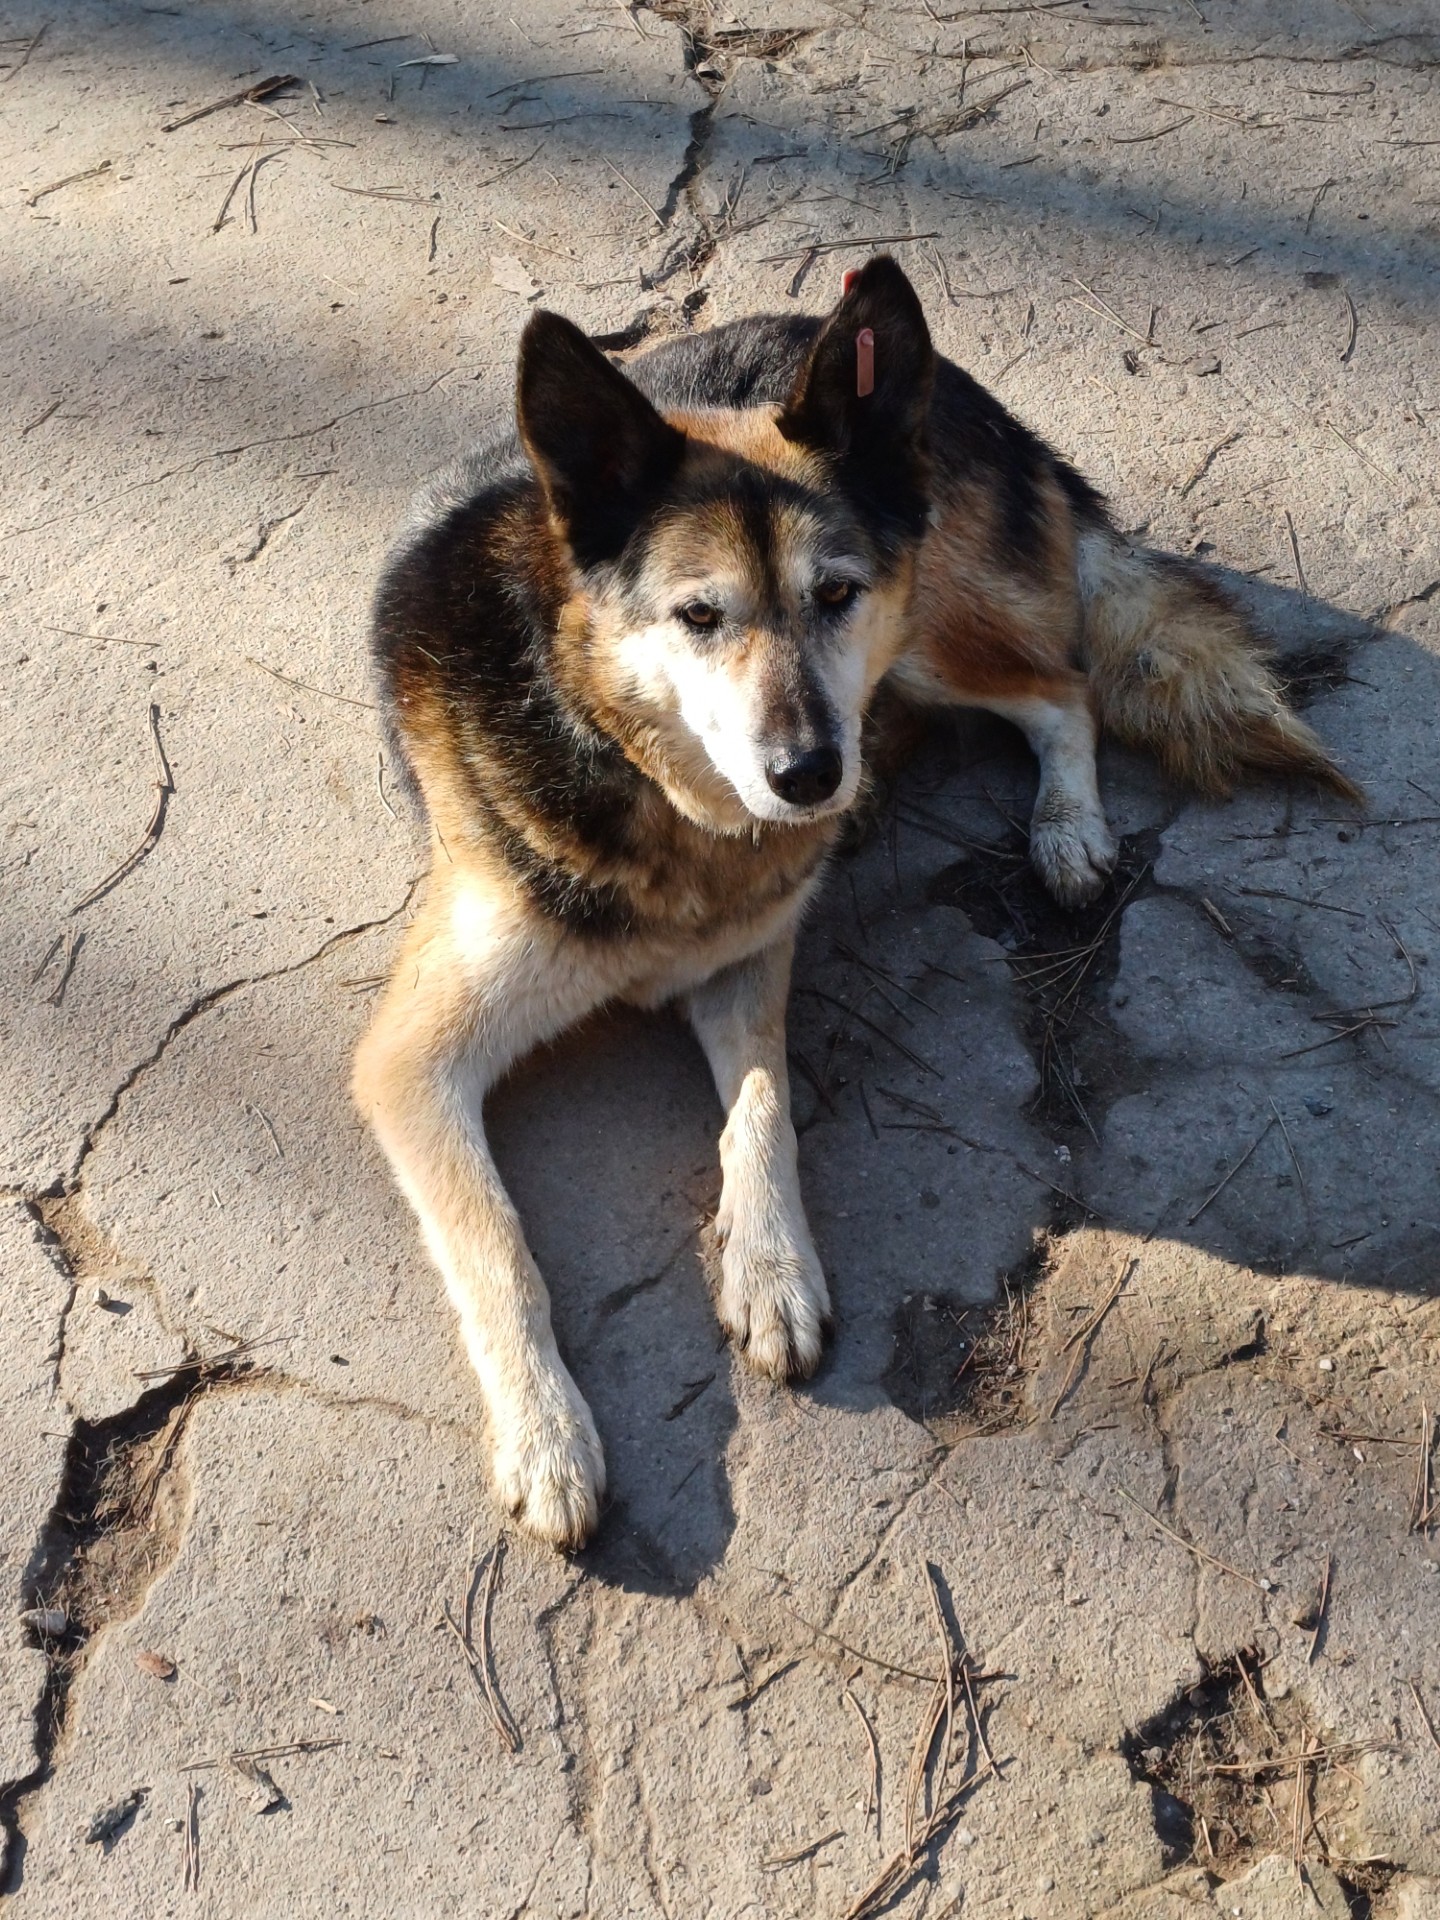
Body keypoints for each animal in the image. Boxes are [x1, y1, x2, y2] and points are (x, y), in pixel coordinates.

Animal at [352, 256, 1357, 1549]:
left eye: (834, 593)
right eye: (698, 618)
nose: (805, 775)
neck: (632, 766)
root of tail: (978, 402)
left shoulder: (748, 965)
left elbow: (765, 1109)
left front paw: (771, 1271)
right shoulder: (411, 1062)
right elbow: (498, 1240)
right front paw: (547, 1433)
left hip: (928, 626)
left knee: (1061, 690)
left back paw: (1058, 827)